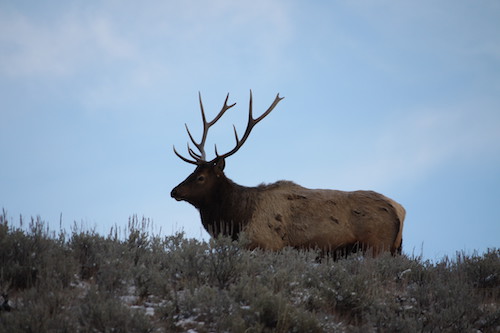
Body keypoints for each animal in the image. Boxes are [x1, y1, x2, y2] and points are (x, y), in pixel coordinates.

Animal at [172, 91, 406, 256]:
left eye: (201, 178)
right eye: (192, 171)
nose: (174, 191)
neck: (238, 217)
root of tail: (400, 210)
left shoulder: (266, 244)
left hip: (377, 245)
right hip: (394, 249)